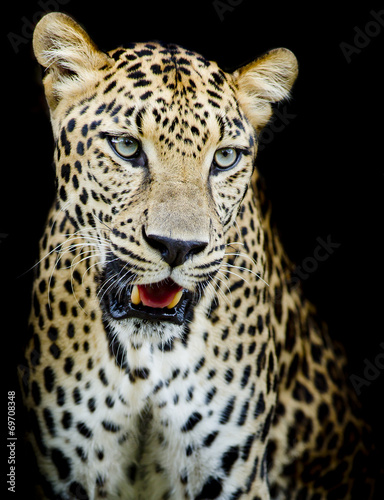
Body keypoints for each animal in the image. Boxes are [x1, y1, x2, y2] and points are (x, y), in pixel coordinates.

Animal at [19, 11, 376, 500]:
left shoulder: (231, 474)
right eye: (126, 147)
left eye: (224, 158)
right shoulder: (70, 472)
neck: (144, 363)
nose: (178, 247)